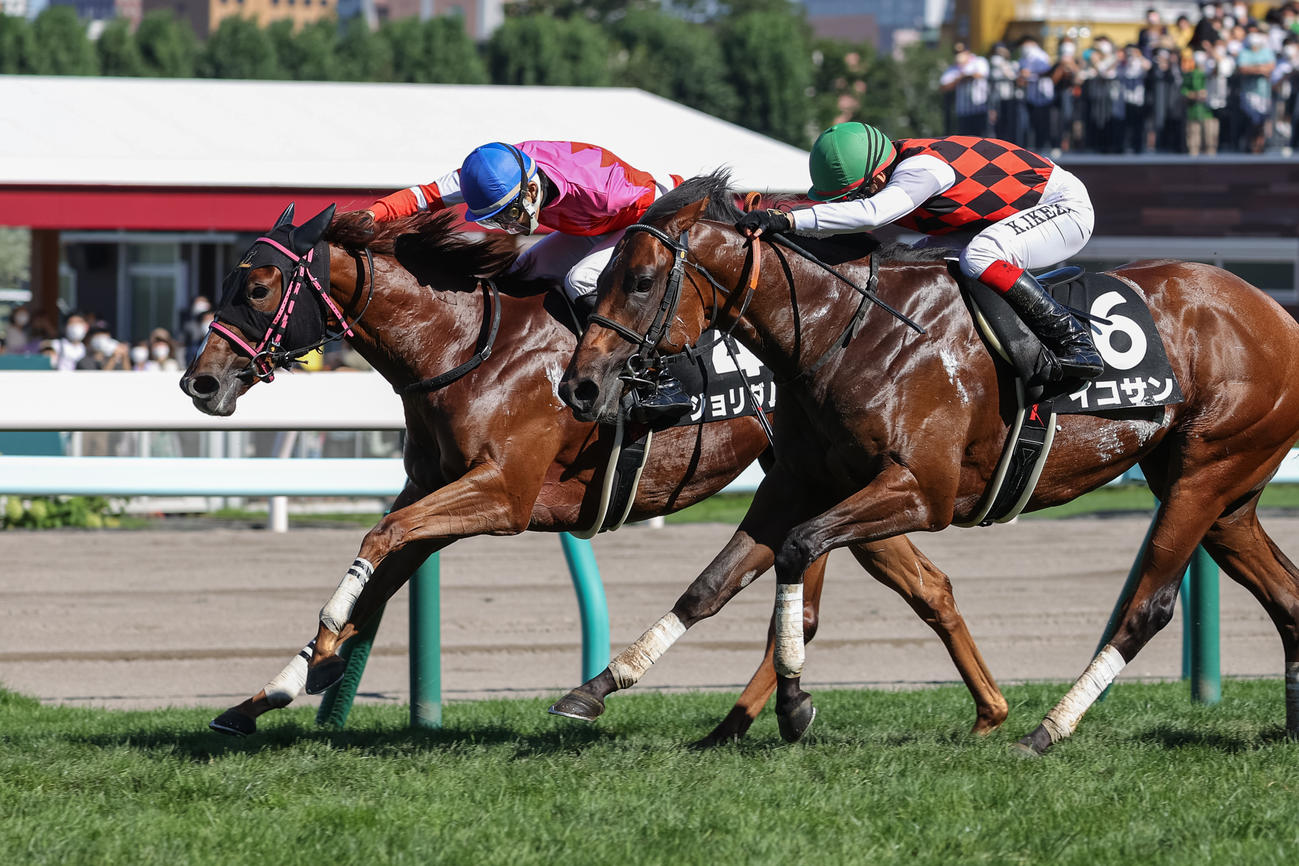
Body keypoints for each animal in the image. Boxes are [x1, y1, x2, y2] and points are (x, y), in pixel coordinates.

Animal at [179, 203, 1008, 741]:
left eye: (256, 287)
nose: (199, 381)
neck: (462, 344)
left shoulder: (500, 494)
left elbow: (379, 543)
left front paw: (317, 653)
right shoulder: (435, 488)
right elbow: (381, 573)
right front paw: (273, 691)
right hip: (831, 476)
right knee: (911, 587)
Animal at [556, 171, 1299, 754]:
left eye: (640, 281)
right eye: (600, 280)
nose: (580, 387)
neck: (847, 330)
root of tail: (1276, 315)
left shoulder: (922, 490)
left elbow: (798, 549)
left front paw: (795, 707)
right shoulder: (798, 482)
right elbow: (710, 585)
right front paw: (596, 687)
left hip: (1206, 471)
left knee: (1149, 606)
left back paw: (1046, 729)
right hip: (1222, 493)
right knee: (1286, 597)